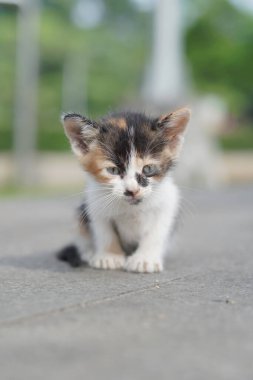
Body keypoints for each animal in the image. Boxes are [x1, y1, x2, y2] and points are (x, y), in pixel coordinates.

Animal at [57, 108, 190, 272]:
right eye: (113, 170)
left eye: (148, 169)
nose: (132, 190)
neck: (131, 208)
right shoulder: (94, 202)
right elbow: (104, 232)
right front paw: (109, 256)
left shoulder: (168, 200)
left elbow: (156, 232)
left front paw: (145, 258)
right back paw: (88, 252)